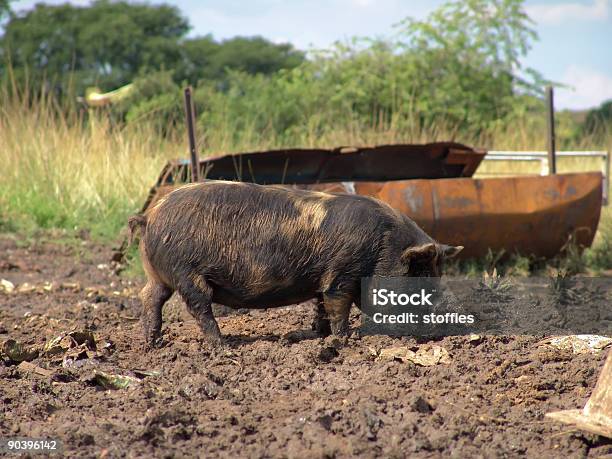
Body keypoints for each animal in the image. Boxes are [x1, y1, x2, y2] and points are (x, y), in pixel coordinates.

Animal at [130, 181, 464, 346]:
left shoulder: (324, 278)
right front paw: (344, 340)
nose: (431, 334)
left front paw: (320, 335)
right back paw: (221, 345)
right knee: (199, 306)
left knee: (149, 297)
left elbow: (321, 305)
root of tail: (151, 215)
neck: (383, 248)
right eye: (418, 284)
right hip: (186, 272)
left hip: (159, 274)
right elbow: (338, 305)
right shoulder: (342, 273)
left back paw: (151, 343)